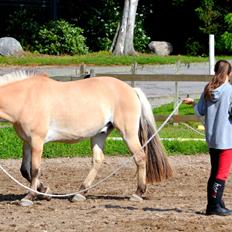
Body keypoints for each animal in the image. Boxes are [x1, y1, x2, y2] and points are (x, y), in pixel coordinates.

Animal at [0, 70, 172, 205]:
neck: (26, 98)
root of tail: (131, 89)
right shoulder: (27, 142)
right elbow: (24, 170)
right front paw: (45, 191)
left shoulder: (37, 141)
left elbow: (35, 169)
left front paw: (29, 196)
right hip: (100, 134)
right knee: (98, 160)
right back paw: (80, 193)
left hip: (127, 134)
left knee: (140, 157)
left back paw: (138, 193)